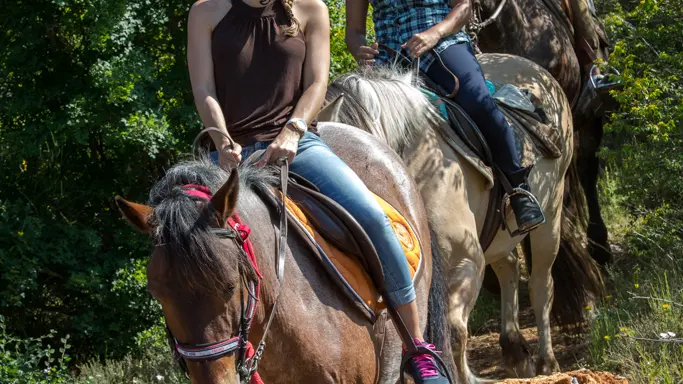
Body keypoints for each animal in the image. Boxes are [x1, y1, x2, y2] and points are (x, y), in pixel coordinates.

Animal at [320, 53, 604, 380]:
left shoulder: (465, 260)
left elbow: (454, 332)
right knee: (509, 265)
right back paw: (515, 349)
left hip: (551, 214)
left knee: (541, 284)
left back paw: (547, 361)